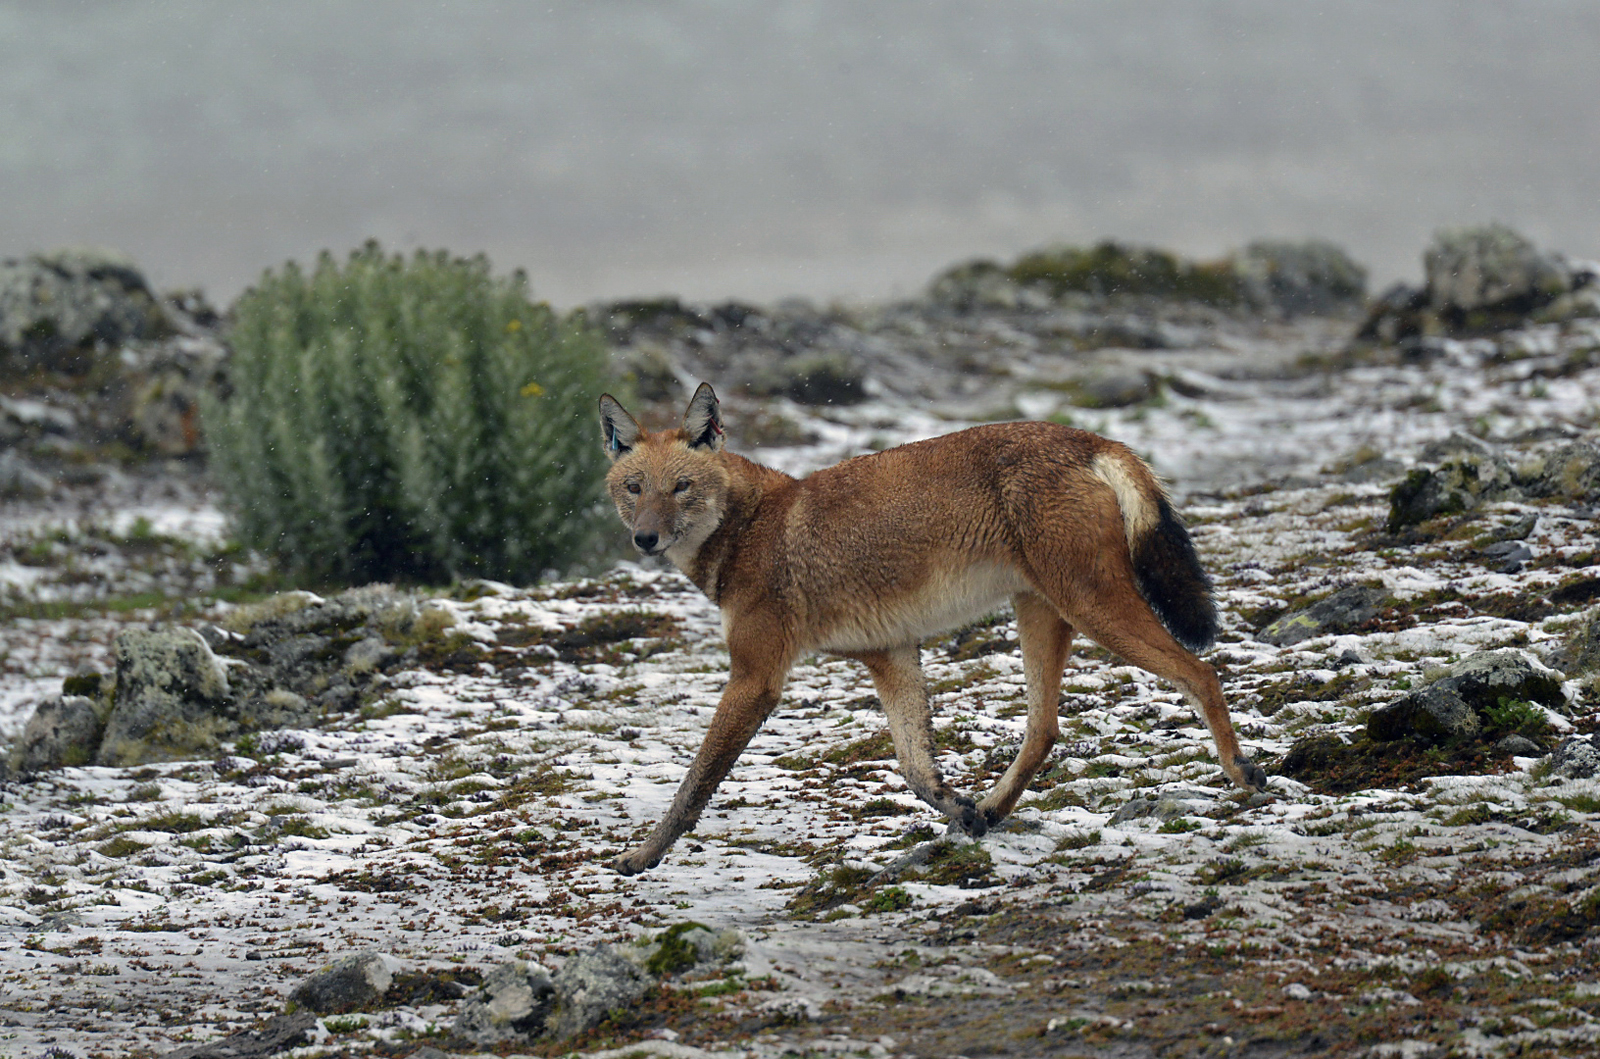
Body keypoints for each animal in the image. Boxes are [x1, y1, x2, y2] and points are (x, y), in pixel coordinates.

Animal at [597, 383, 1265, 875]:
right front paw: (960, 810)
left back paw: (1243, 773)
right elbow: (916, 768)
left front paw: (641, 856)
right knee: (1045, 729)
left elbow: (691, 787)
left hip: (1094, 611)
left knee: (1202, 671)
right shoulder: (890, 655)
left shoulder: (756, 678)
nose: (646, 539)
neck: (749, 526)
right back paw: (991, 810)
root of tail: (1089, 437)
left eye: (681, 487)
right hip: (1043, 616)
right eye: (635, 488)